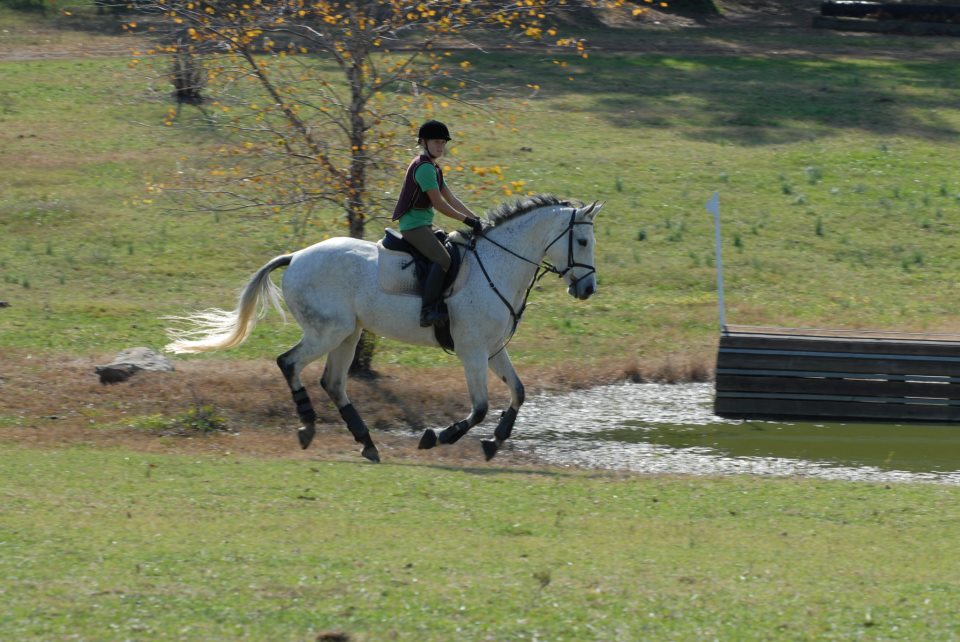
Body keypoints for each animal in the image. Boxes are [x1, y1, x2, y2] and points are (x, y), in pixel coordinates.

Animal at [164, 194, 600, 460]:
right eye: (581, 241)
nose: (588, 289)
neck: (497, 264)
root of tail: (297, 256)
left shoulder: (493, 350)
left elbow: (519, 393)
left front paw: (493, 443)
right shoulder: (472, 352)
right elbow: (478, 408)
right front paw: (437, 437)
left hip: (348, 334)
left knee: (333, 382)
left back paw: (367, 443)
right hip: (328, 331)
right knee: (288, 363)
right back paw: (308, 425)